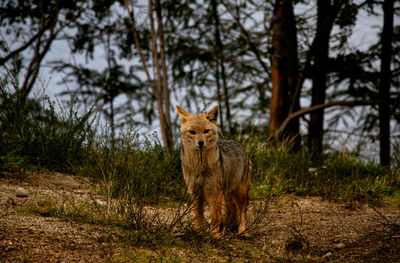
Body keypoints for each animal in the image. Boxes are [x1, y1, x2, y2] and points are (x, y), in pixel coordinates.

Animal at [177, 105, 252, 239]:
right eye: (192, 132)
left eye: (206, 131)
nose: (200, 143)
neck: (200, 167)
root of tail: (238, 143)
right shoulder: (195, 191)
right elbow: (198, 214)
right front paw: (199, 232)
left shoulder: (214, 190)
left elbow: (215, 214)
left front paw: (214, 234)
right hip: (227, 193)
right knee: (232, 210)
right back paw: (228, 227)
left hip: (240, 193)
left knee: (242, 212)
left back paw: (242, 231)